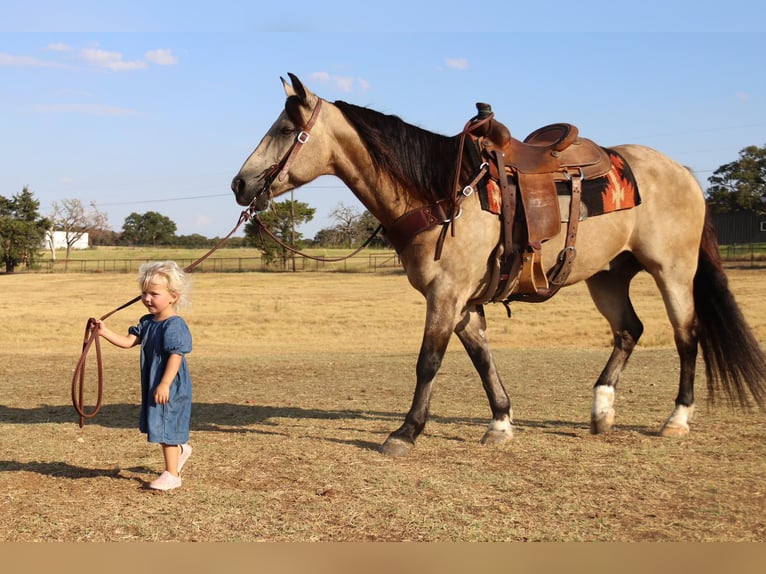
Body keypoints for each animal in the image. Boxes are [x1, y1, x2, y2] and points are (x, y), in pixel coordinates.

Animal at [230, 73, 766, 460]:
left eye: (284, 129)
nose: (240, 184)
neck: (443, 193)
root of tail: (683, 173)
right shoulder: (463, 301)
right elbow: (482, 358)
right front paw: (501, 423)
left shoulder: (446, 294)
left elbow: (428, 362)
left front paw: (405, 432)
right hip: (609, 275)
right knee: (629, 330)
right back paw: (601, 411)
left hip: (672, 270)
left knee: (686, 335)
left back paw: (676, 419)